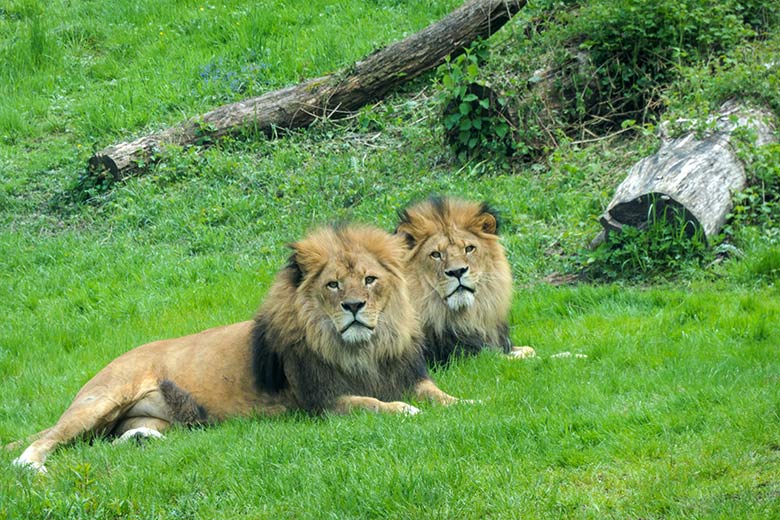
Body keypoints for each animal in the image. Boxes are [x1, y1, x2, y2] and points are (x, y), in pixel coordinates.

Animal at [9, 223, 460, 472]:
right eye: (333, 285)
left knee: (112, 438)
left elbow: (437, 393)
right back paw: (31, 467)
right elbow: (373, 403)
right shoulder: (322, 403)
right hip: (102, 400)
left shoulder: (408, 375)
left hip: (151, 419)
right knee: (47, 440)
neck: (363, 347)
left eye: (369, 280)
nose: (353, 306)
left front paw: (465, 404)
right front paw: (404, 410)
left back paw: (140, 441)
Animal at [396, 197, 536, 364]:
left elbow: (530, 349)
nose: (457, 272)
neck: (467, 318)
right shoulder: (464, 359)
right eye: (436, 254)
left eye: (469, 249)